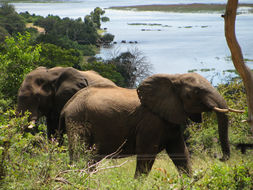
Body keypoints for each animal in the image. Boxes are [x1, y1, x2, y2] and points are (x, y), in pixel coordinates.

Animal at [58, 73, 239, 178]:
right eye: (195, 93)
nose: (219, 157)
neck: (173, 77)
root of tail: (66, 106)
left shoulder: (169, 119)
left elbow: (180, 153)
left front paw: (191, 180)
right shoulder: (151, 121)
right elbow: (147, 154)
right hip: (78, 121)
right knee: (81, 155)